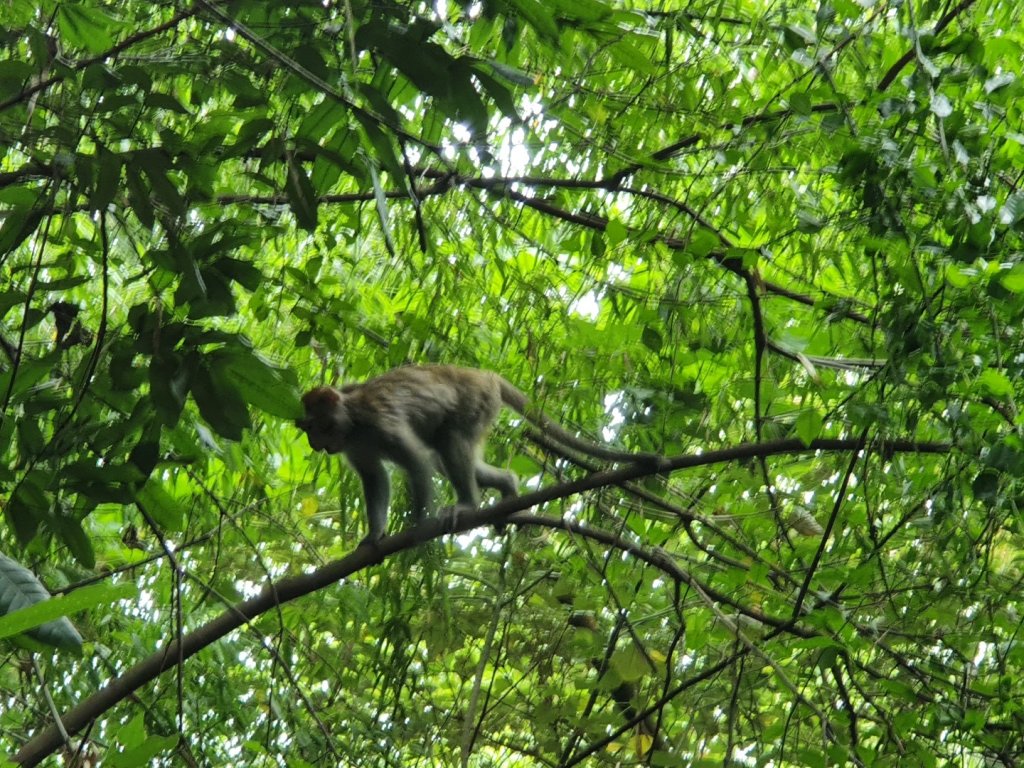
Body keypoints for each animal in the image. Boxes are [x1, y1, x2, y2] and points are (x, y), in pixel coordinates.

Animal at [299, 364, 663, 540]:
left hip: (476, 401)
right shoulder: (352, 446)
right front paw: (374, 536)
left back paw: (468, 504)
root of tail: (485, 375)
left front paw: (419, 525)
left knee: (449, 442)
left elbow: (416, 463)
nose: (315, 443)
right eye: (309, 429)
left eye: (317, 425)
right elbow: (375, 477)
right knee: (445, 455)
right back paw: (508, 487)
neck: (352, 423)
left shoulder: (378, 422)